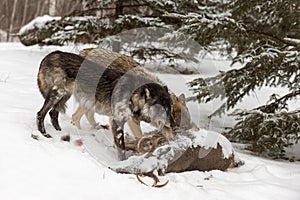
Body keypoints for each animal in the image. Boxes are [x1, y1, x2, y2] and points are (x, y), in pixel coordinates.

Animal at [36, 50, 175, 159]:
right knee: (40, 113)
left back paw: (59, 131)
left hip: (66, 95)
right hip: (58, 94)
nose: (173, 124)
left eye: (170, 109)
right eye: (162, 109)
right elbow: (121, 149)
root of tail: (51, 54)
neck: (132, 96)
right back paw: (44, 134)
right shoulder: (117, 122)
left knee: (53, 113)